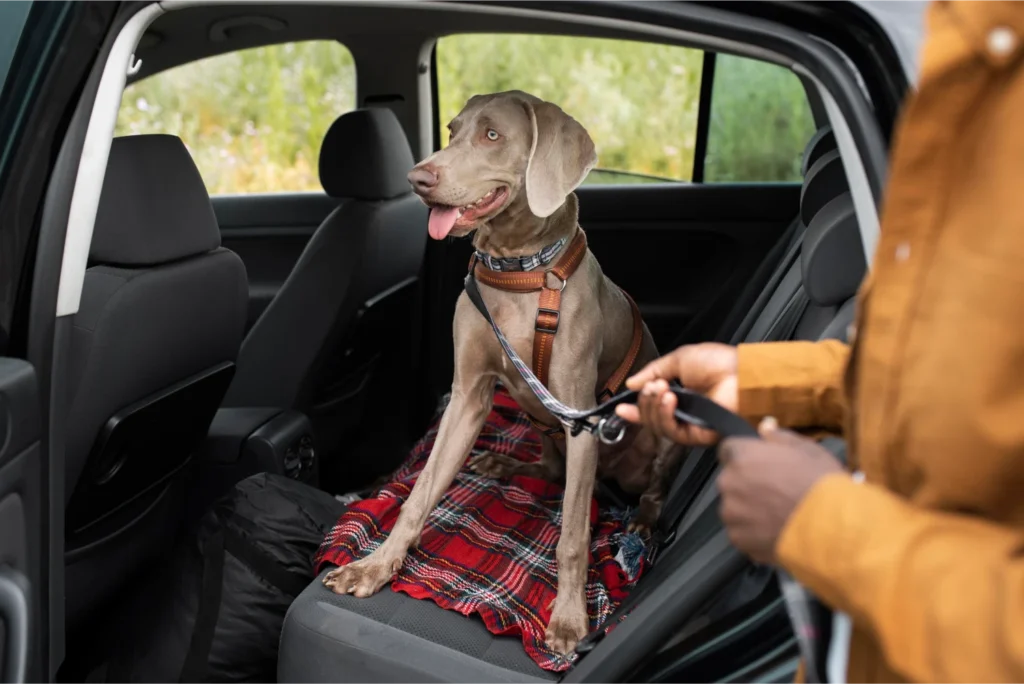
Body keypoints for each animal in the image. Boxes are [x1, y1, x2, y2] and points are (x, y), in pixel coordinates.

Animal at [323, 89, 684, 651]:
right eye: (451, 130)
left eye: (492, 135)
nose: (416, 178)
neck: (519, 271)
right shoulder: (467, 396)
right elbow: (419, 494)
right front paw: (375, 566)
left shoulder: (580, 421)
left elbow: (573, 537)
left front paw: (568, 619)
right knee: (551, 470)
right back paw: (502, 464)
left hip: (657, 426)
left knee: (646, 490)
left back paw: (643, 524)